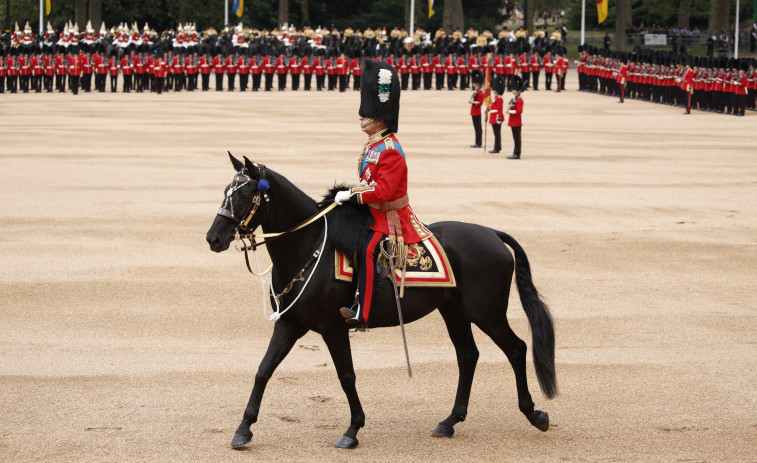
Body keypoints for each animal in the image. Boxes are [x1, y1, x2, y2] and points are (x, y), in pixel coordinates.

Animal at [207, 155, 556, 450]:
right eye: (225, 192)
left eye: (244, 195)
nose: (213, 238)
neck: (307, 246)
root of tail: (492, 233)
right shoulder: (290, 324)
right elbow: (263, 370)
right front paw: (244, 428)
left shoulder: (333, 327)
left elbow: (346, 376)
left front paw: (352, 430)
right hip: (454, 312)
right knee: (468, 356)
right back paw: (449, 422)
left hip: (486, 312)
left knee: (516, 349)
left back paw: (534, 414)